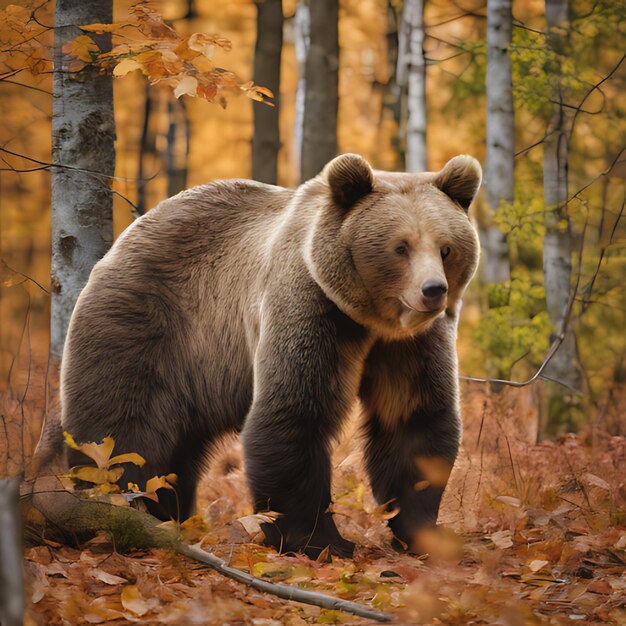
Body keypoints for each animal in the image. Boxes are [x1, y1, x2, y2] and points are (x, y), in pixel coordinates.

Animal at [61, 154, 480, 560]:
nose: (433, 290)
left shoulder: (409, 345)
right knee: (120, 432)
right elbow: (293, 414)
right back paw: (118, 510)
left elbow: (414, 421)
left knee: (180, 449)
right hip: (148, 323)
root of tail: (125, 237)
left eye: (445, 248)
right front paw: (320, 541)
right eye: (401, 247)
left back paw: (170, 514)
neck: (369, 320)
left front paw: (424, 533)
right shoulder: (308, 305)